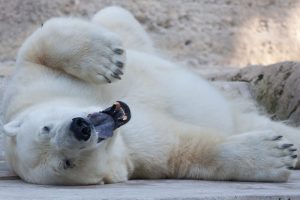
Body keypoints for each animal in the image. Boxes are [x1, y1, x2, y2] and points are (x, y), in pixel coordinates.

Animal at [0, 6, 298, 184]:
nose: (80, 128)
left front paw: (108, 60)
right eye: (66, 163)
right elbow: (183, 149)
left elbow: (38, 44)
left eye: (46, 128)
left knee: (112, 15)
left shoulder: (30, 84)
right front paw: (276, 154)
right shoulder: (138, 153)